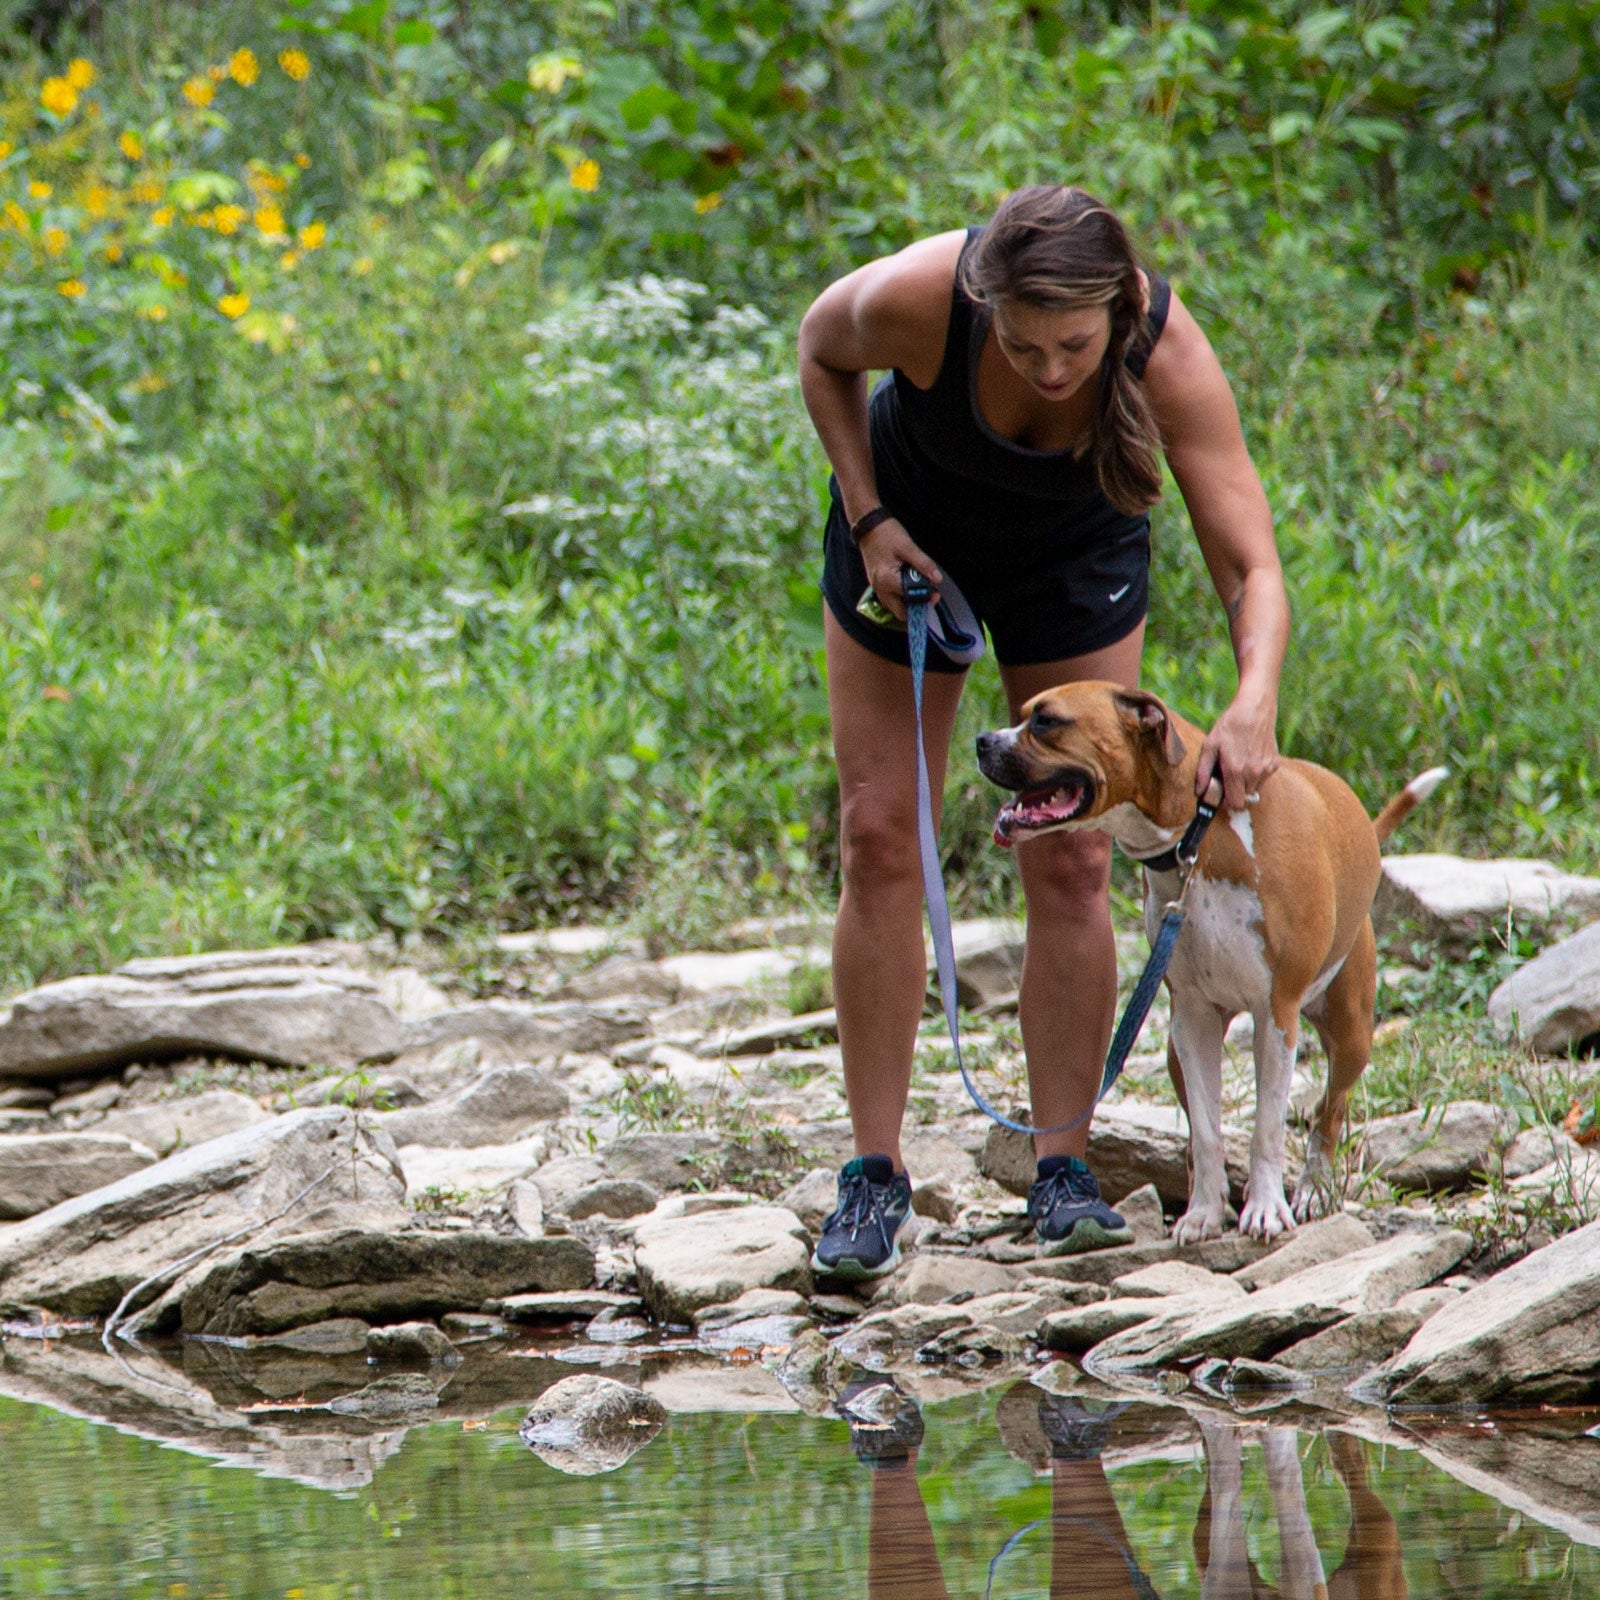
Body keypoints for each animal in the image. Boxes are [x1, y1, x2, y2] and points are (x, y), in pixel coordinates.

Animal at [966, 681, 1446, 1241]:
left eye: (1046, 721)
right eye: (1022, 715)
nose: (981, 741)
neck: (1198, 833)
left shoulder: (1276, 1015)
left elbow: (1266, 1128)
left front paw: (1266, 1207)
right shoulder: (1192, 1018)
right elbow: (1208, 1130)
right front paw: (1203, 1214)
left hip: (1350, 1032)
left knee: (1330, 1109)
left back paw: (1311, 1190)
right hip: (1179, 1051)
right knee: (1203, 1133)